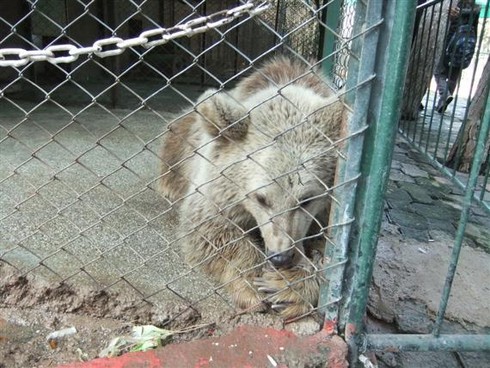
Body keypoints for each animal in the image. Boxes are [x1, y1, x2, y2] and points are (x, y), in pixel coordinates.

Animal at [159, 55, 342, 320]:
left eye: (306, 199)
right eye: (261, 198)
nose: (280, 256)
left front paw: (288, 286)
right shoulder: (217, 190)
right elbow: (210, 230)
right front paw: (255, 283)